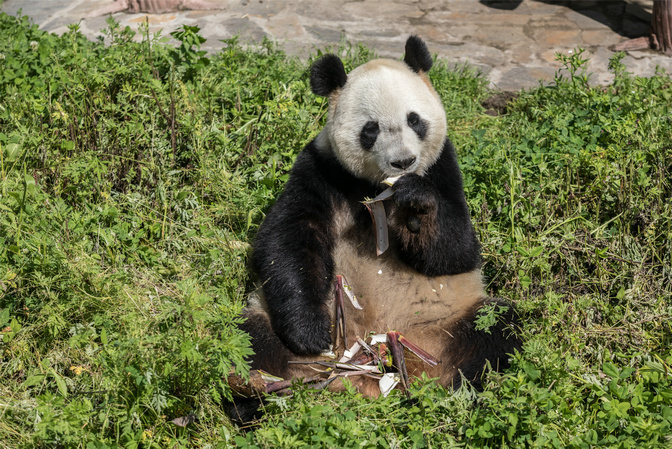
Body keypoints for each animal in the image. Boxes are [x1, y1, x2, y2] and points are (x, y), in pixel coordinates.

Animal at [234, 35, 524, 420]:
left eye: (415, 120)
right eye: (370, 129)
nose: (403, 162)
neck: (376, 188)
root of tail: (369, 371)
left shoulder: (442, 166)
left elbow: (458, 251)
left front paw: (415, 205)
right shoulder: (322, 168)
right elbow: (287, 240)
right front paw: (311, 332)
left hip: (442, 327)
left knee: (495, 329)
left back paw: (463, 399)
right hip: (287, 339)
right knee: (247, 341)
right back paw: (253, 395)